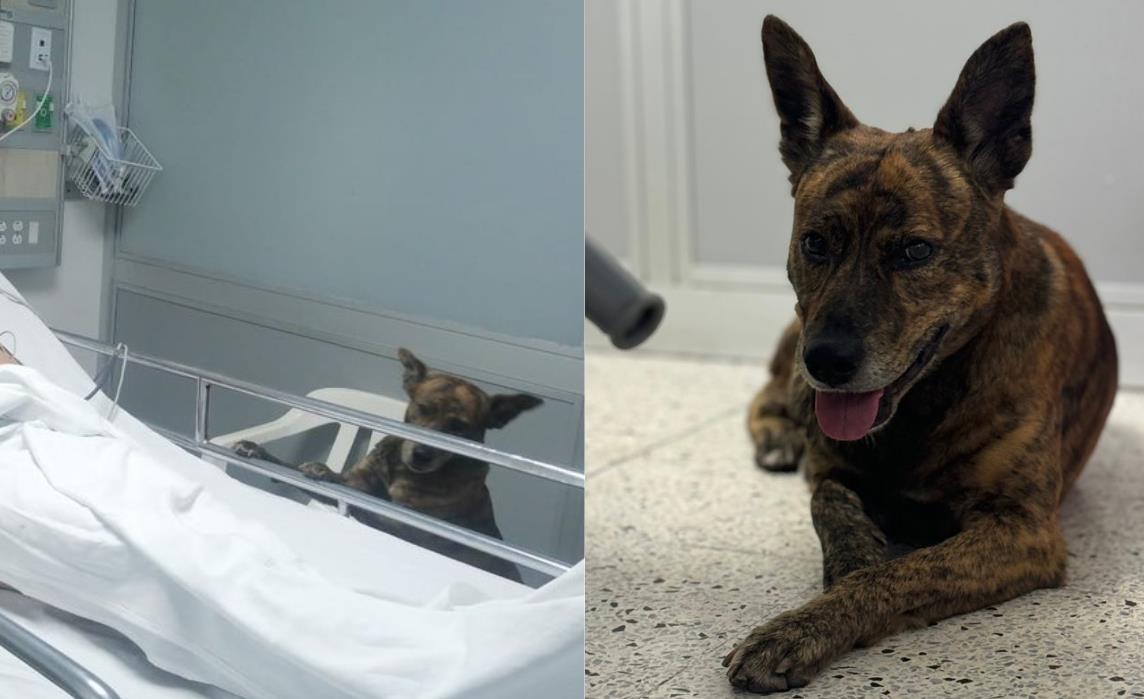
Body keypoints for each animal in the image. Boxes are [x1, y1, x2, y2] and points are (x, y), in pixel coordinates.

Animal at [232, 350, 539, 585]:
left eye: (459, 428)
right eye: (422, 408)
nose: (422, 454)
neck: (399, 469)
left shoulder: (401, 523)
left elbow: (357, 502)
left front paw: (322, 472)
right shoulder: (358, 481)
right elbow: (294, 468)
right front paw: (259, 451)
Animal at [723, 16, 1116, 695]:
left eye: (914, 251)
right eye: (815, 243)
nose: (826, 362)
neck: (925, 401)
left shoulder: (1022, 527)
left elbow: (894, 575)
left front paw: (806, 624)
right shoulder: (831, 470)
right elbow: (834, 512)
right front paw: (846, 568)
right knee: (767, 394)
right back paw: (778, 436)